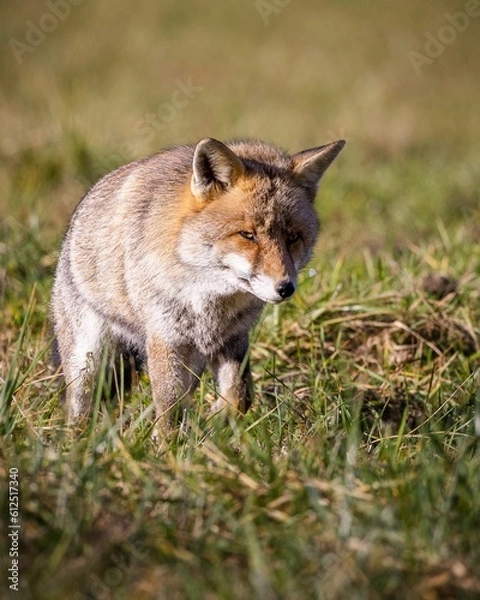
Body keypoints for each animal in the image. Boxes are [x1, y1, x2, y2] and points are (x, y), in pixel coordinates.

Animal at [51, 137, 344, 432]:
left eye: (293, 237)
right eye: (247, 235)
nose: (285, 288)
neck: (207, 300)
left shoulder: (231, 338)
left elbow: (240, 395)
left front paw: (215, 420)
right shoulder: (165, 337)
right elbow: (170, 408)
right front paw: (169, 444)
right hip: (87, 359)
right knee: (79, 407)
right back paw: (77, 438)